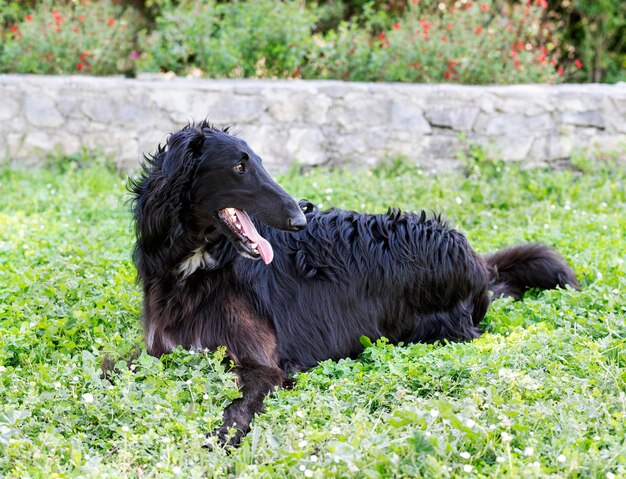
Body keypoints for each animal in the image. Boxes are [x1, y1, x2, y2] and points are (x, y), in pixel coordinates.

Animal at [129, 123, 576, 446]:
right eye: (239, 167)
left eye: (258, 162)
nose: (300, 218)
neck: (196, 265)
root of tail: (472, 259)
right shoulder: (158, 349)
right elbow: (119, 364)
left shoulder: (263, 366)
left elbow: (236, 408)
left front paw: (218, 438)